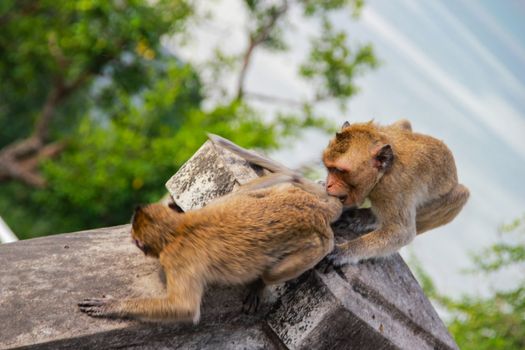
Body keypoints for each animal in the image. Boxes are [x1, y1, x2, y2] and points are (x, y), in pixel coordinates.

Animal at [77, 163, 340, 322]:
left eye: (137, 242)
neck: (177, 230)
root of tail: (317, 209)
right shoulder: (211, 206)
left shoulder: (175, 258)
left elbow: (184, 307)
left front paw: (114, 305)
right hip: (285, 194)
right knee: (268, 188)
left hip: (317, 245)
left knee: (274, 272)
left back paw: (259, 283)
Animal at [322, 119, 468, 264]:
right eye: (329, 168)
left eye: (339, 170)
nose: (328, 184)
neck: (382, 174)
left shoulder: (393, 189)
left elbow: (403, 233)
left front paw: (345, 250)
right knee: (405, 122)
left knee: (462, 194)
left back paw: (368, 218)